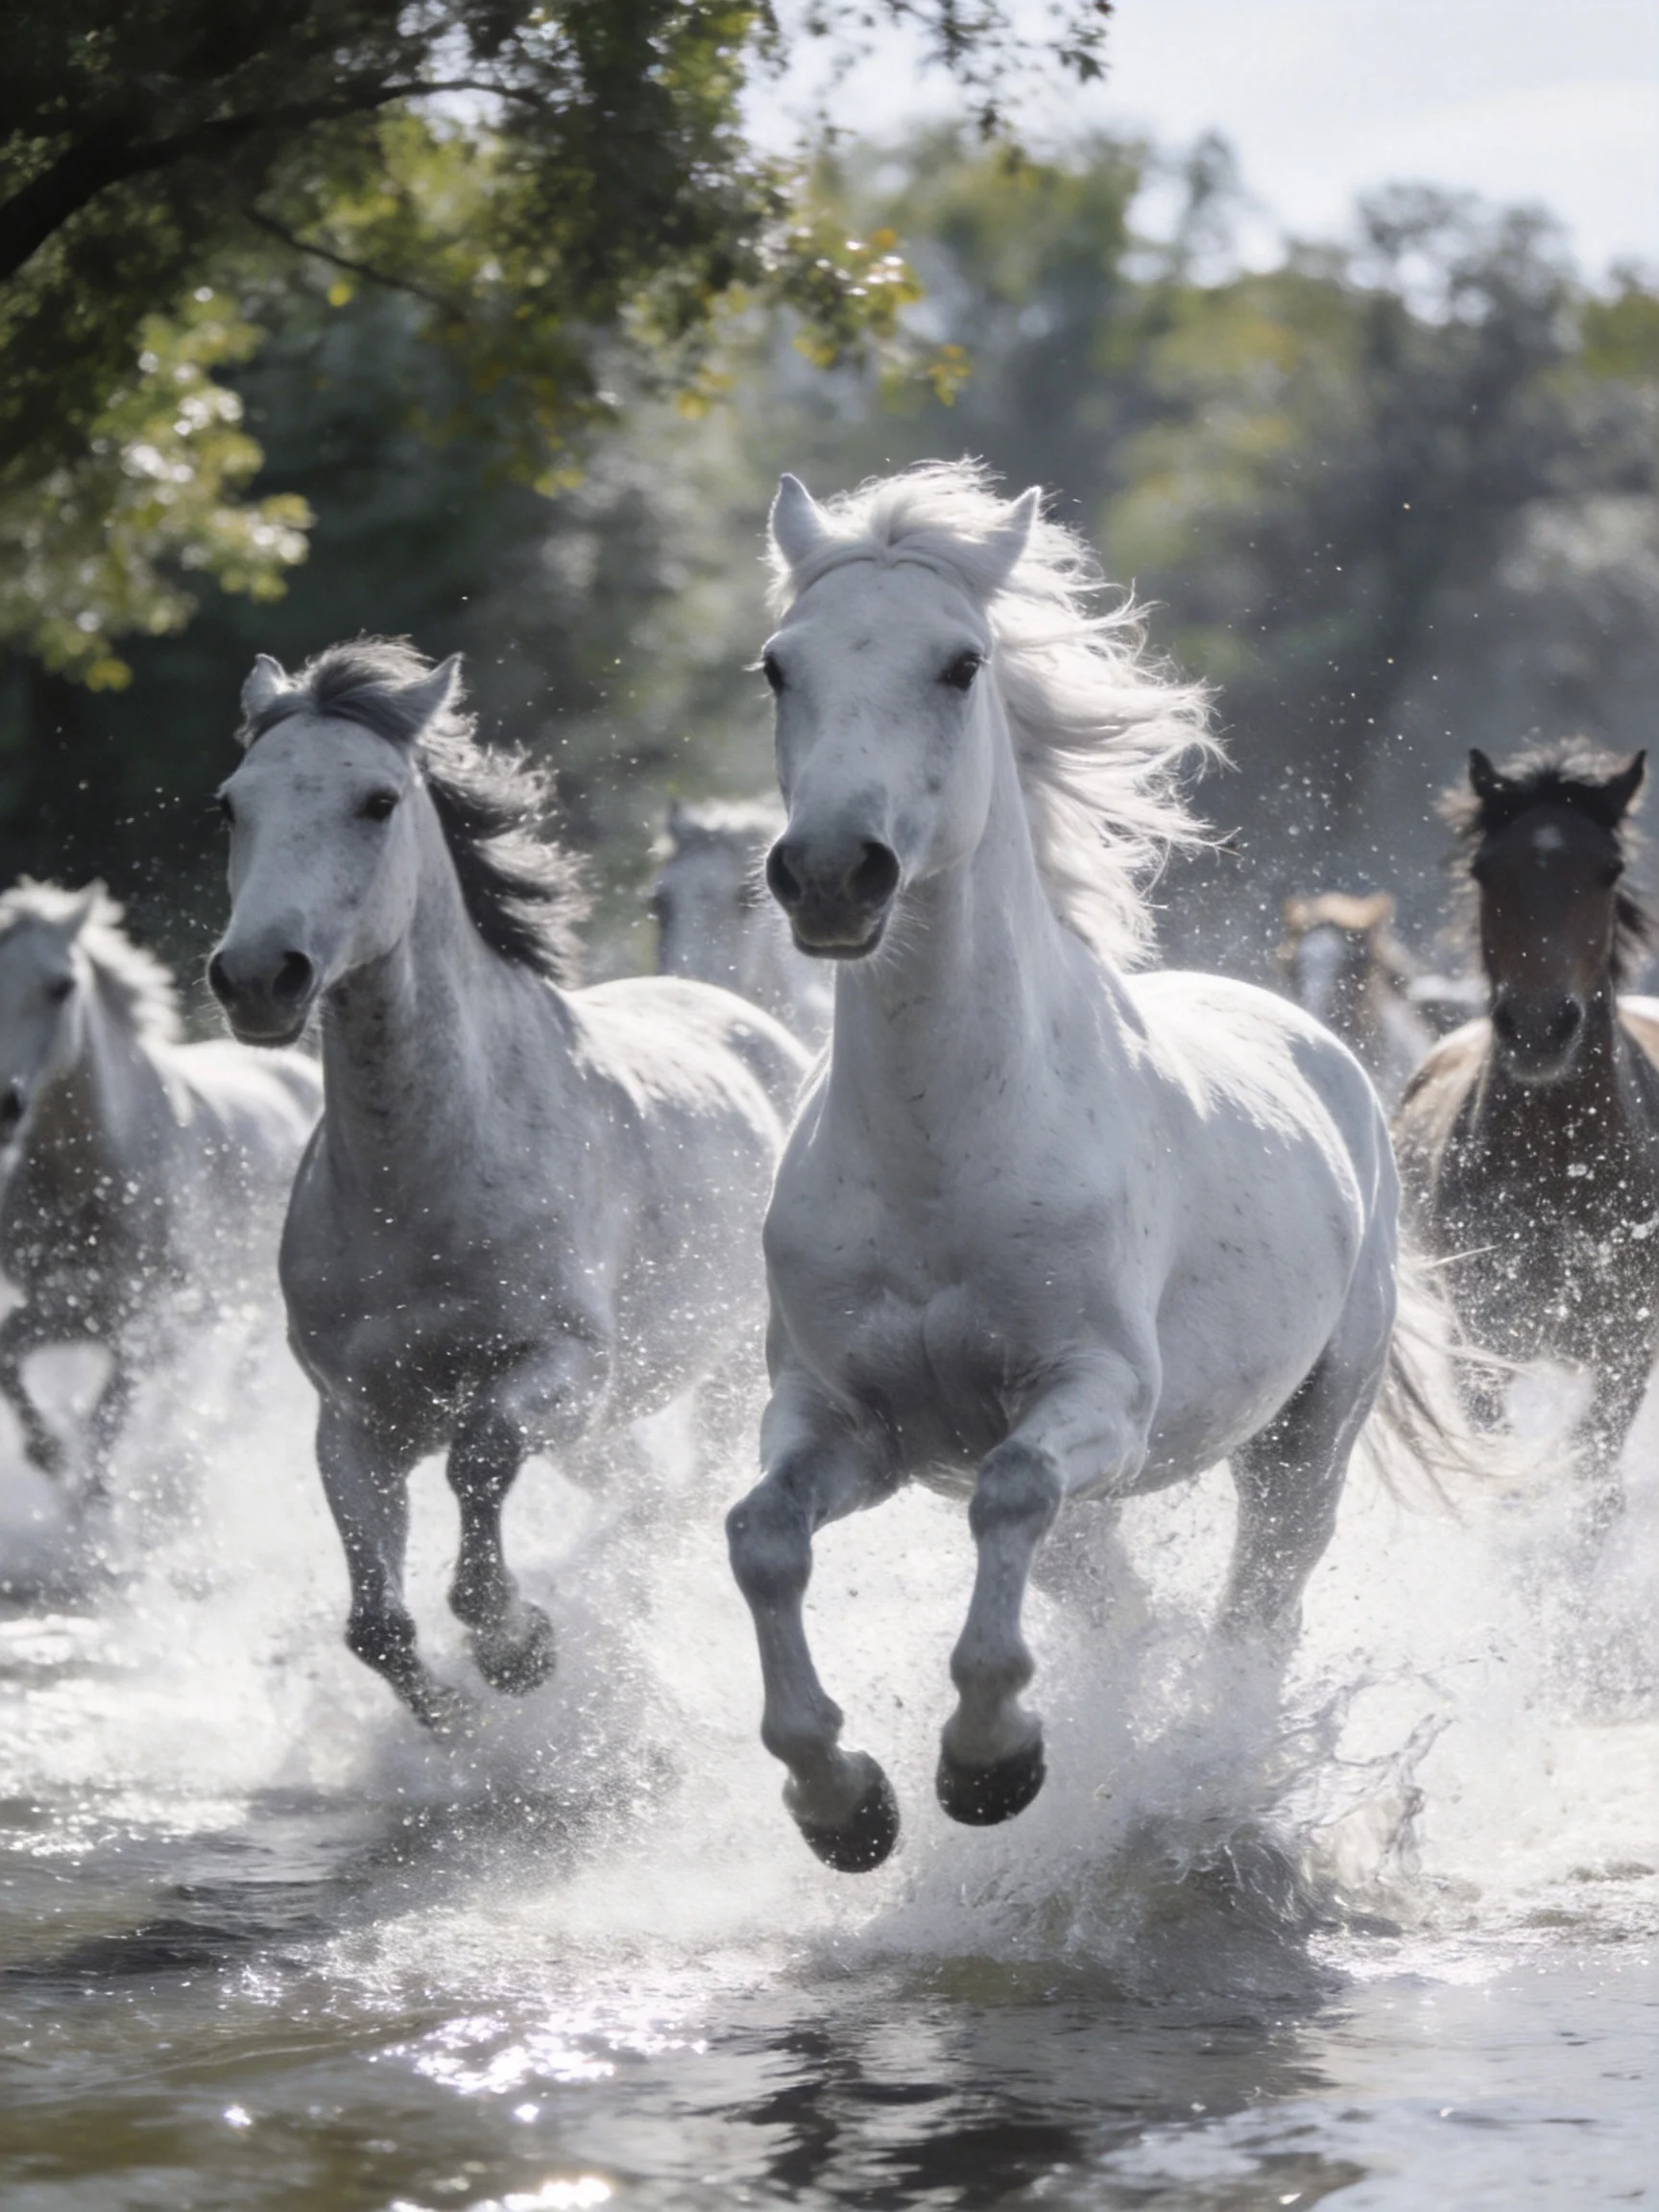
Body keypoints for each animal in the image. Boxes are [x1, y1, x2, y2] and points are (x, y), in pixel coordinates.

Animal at [0, 881, 319, 1499]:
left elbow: (108, 1421)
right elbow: (10, 1362)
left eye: (62, 987)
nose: (3, 1104)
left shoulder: (148, 1324)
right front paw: (50, 1456)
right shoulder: (66, 1308)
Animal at [208, 640, 811, 1731]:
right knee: (639, 1499)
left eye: (376, 801)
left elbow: (480, 1457)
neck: (420, 1190)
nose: (259, 977)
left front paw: (517, 1646)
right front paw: (451, 1719)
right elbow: (375, 1624)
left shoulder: (563, 1368)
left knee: (684, 1490)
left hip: (724, 1375)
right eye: (232, 805)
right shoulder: (354, 1421)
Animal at [724, 463, 1413, 1873]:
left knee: (1261, 1606)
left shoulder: (1094, 1397)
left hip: (1307, 1437)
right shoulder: (845, 1422)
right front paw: (844, 1801)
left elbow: (1010, 1496)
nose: (830, 874)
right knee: (1124, 1606)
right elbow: (761, 1540)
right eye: (778, 665)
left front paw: (990, 1764)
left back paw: (1216, 1775)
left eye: (961, 662)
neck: (944, 1154)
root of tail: (1325, 1046)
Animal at [1394, 742, 1659, 1542]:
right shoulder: (1479, 1339)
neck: (1559, 1163)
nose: (1539, 1029)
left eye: (1608, 869)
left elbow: (1593, 1486)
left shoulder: (1624, 1348)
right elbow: (1506, 1477)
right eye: (1487, 869)